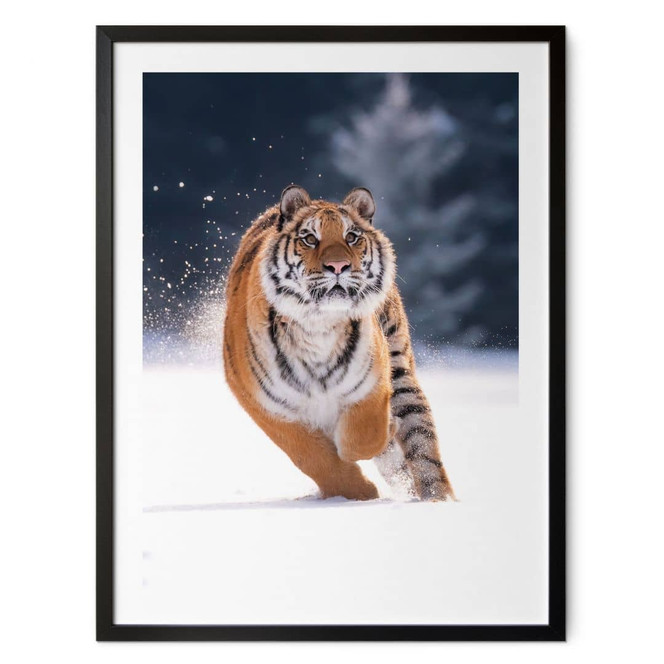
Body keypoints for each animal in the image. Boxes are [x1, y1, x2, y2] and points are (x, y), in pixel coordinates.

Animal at [223, 185, 455, 501]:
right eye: (310, 238)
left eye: (352, 237)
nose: (338, 266)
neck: (319, 324)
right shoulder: (265, 404)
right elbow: (311, 456)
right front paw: (360, 492)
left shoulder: (373, 381)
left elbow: (363, 437)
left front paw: (384, 430)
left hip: (401, 370)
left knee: (423, 447)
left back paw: (438, 500)